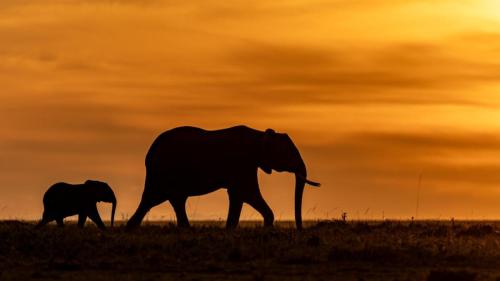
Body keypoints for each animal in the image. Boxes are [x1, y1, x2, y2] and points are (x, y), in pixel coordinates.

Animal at [125, 126, 320, 229]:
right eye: (288, 155)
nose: (300, 230)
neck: (259, 135)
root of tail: (149, 153)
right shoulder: (243, 163)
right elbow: (247, 193)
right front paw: (266, 227)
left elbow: (238, 196)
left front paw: (230, 229)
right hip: (163, 172)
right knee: (156, 199)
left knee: (166, 200)